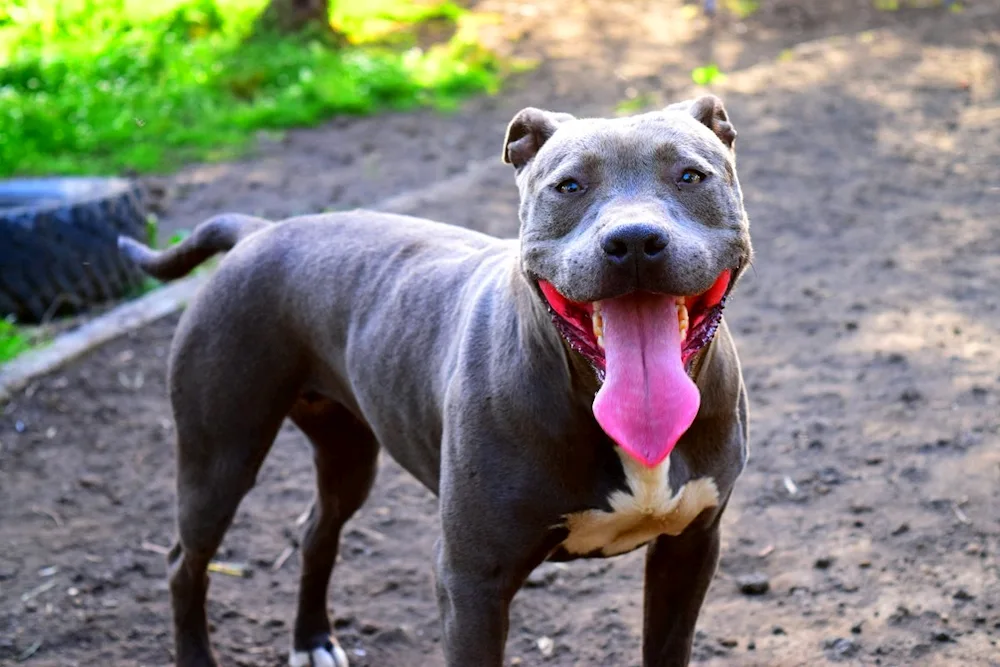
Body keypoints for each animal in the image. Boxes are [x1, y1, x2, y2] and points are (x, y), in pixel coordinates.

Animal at [119, 94, 752, 667]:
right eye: (569, 186)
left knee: (317, 531)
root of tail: (258, 231)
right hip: (218, 457)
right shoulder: (471, 582)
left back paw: (313, 640)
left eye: (691, 175)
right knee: (184, 563)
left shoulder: (691, 548)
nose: (634, 240)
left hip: (347, 453)